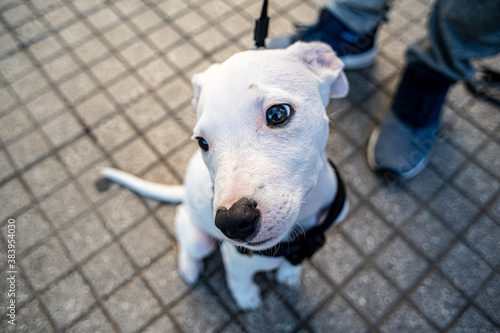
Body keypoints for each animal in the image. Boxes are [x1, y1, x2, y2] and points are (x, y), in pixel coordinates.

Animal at [102, 41, 348, 308]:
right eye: (202, 142)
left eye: (277, 114)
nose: (232, 222)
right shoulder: (237, 259)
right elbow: (239, 280)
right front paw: (247, 298)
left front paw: (289, 274)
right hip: (198, 239)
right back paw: (189, 268)